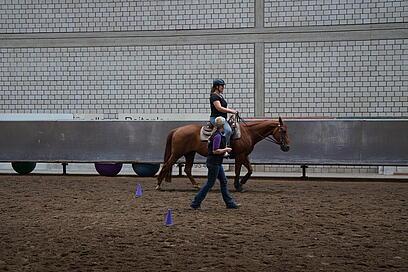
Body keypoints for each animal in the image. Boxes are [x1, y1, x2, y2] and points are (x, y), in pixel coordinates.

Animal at [156, 116, 290, 191]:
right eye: (283, 130)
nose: (287, 147)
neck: (248, 132)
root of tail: (177, 130)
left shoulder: (244, 155)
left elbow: (250, 170)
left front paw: (242, 182)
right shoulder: (240, 156)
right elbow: (237, 171)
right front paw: (238, 186)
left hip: (190, 153)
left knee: (187, 169)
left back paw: (196, 186)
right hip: (177, 153)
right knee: (166, 165)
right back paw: (158, 185)